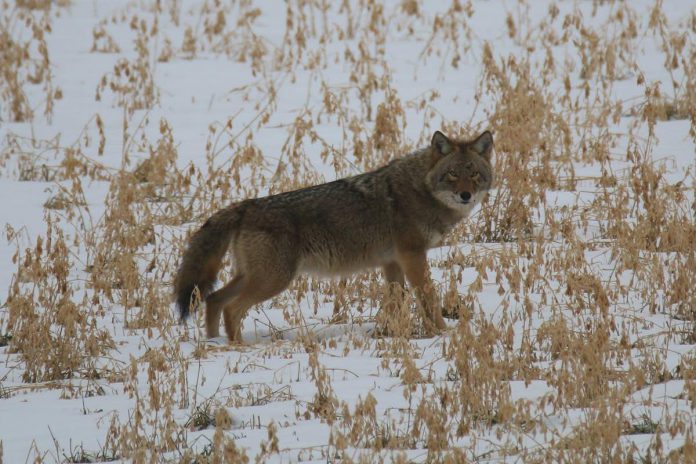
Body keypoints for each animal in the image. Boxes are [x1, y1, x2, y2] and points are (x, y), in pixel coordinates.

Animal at [174, 130, 494, 342]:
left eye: (474, 174)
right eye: (452, 174)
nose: (465, 195)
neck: (420, 190)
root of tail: (245, 206)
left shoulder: (392, 262)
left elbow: (395, 301)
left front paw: (390, 334)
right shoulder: (412, 256)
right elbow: (428, 297)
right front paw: (442, 333)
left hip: (257, 277)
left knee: (213, 299)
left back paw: (215, 344)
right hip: (274, 280)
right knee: (231, 308)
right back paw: (238, 347)